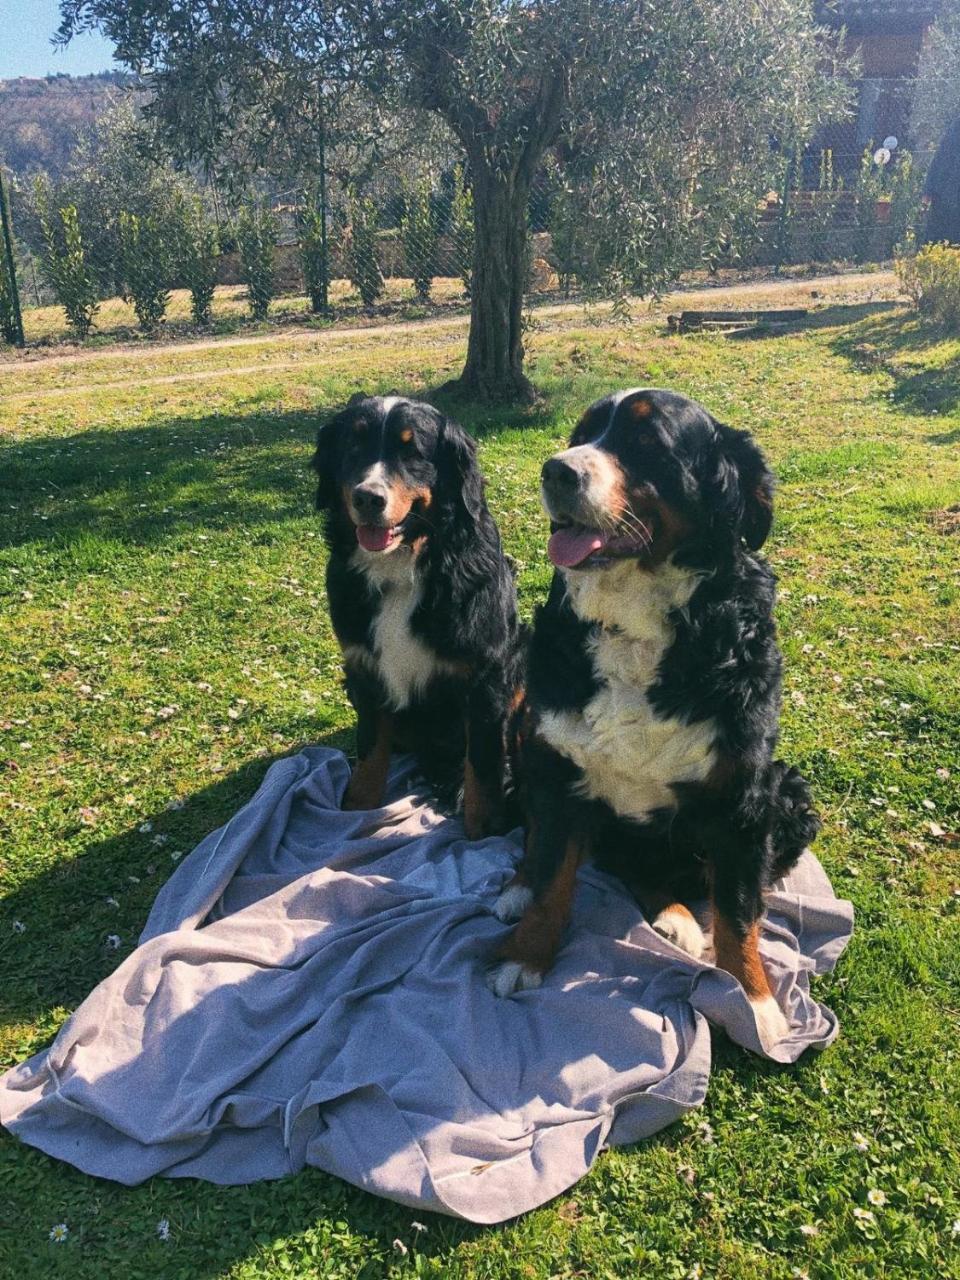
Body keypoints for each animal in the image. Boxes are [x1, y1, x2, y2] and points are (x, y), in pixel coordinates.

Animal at [313, 396, 527, 839]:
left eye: (411, 451)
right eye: (353, 445)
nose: (368, 498)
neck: (403, 567)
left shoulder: (484, 676)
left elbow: (482, 766)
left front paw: (482, 831)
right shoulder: (363, 667)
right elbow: (370, 749)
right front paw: (356, 810)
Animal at [491, 386, 824, 1049]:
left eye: (647, 442)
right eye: (583, 434)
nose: (556, 470)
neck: (635, 624)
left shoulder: (742, 798)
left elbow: (740, 913)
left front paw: (755, 1001)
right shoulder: (559, 768)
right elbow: (551, 876)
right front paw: (526, 953)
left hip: (788, 792)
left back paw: (675, 917)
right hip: (525, 733)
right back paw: (521, 890)